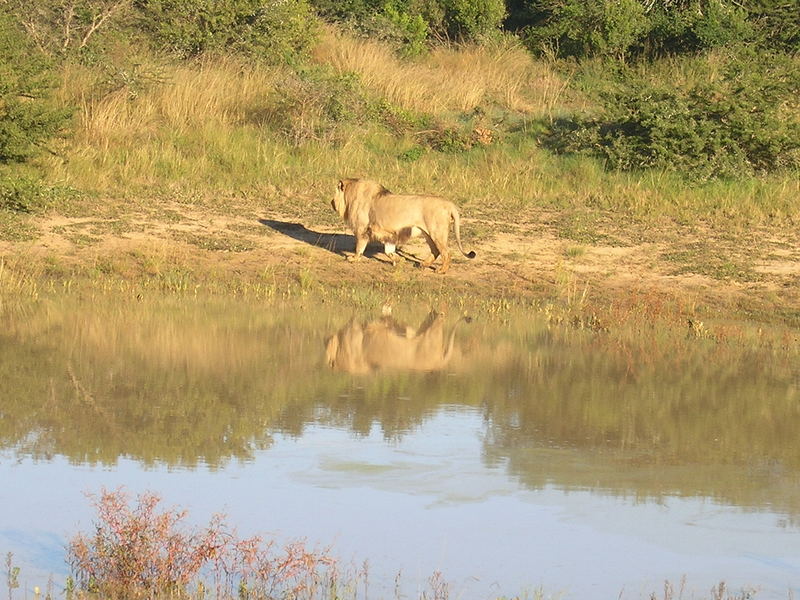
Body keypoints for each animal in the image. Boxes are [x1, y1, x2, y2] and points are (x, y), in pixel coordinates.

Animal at [332, 177, 476, 274]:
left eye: (334, 195)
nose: (331, 202)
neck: (350, 196)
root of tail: (449, 204)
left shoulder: (362, 229)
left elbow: (359, 247)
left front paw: (353, 258)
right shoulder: (389, 234)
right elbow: (389, 251)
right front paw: (399, 260)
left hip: (437, 233)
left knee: (446, 253)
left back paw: (441, 270)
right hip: (428, 234)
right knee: (435, 251)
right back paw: (423, 264)